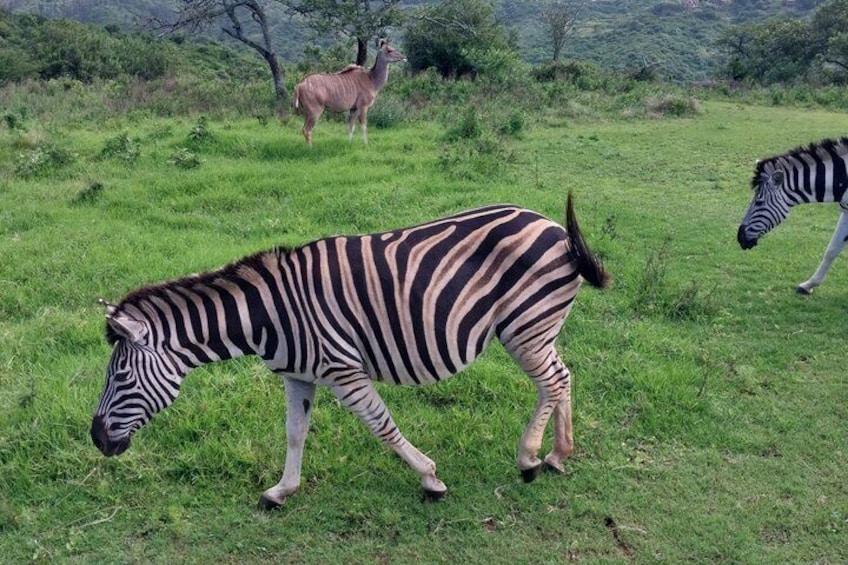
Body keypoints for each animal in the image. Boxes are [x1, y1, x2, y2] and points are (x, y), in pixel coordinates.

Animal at [91, 193, 610, 509]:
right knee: (563, 377)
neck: (270, 315)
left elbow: (382, 426)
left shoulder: (343, 369)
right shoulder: (298, 374)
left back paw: (529, 460)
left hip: (525, 325)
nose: (97, 439)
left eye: (121, 378)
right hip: (537, 327)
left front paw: (430, 479)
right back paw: (558, 455)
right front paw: (281, 491)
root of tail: (555, 228)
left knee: (553, 381)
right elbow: (294, 433)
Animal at [737, 137, 848, 294]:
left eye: (759, 202)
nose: (739, 237)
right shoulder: (846, 211)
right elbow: (831, 250)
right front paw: (809, 285)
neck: (843, 177)